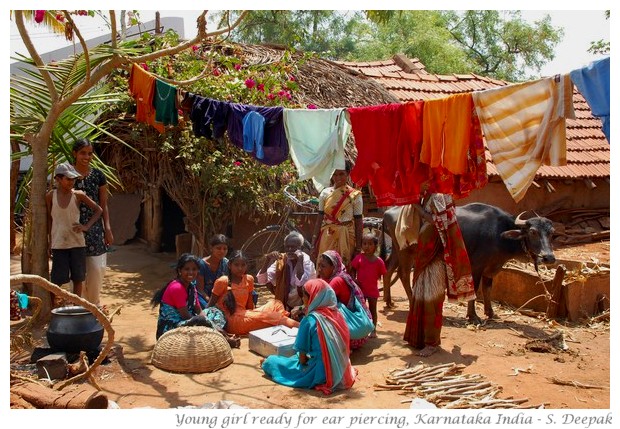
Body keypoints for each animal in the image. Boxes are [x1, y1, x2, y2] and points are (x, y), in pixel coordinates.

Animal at [378, 202, 556, 322]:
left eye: (551, 233)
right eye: (533, 232)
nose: (549, 257)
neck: (499, 233)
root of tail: (388, 212)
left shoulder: (491, 267)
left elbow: (487, 289)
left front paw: (490, 313)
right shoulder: (476, 266)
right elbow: (476, 290)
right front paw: (473, 316)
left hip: (396, 249)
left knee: (388, 270)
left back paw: (388, 301)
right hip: (405, 251)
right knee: (403, 274)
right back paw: (410, 301)